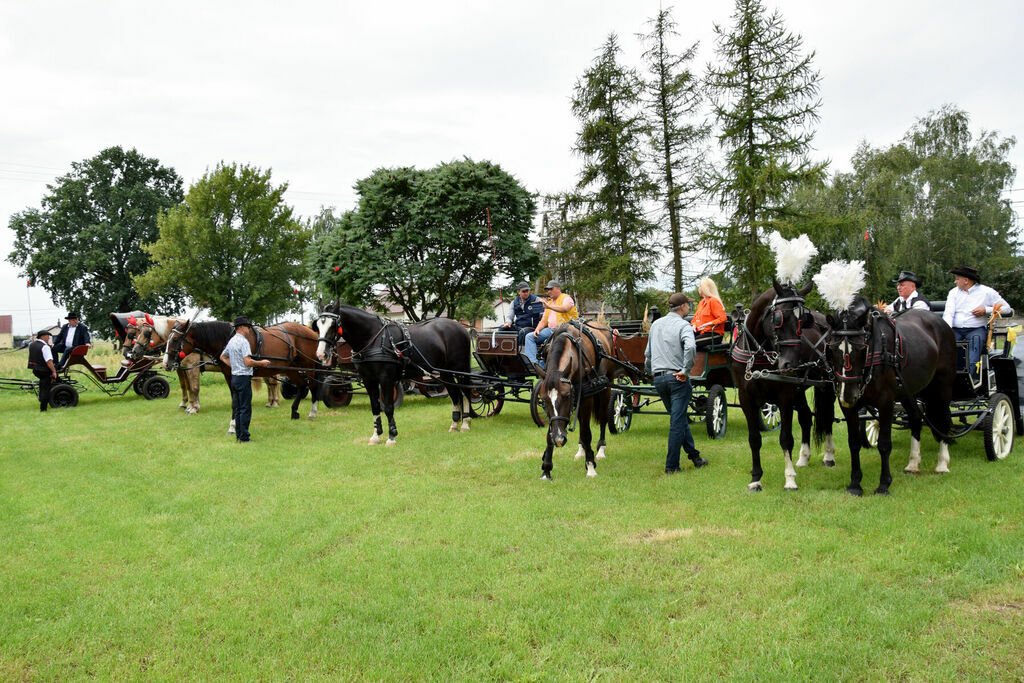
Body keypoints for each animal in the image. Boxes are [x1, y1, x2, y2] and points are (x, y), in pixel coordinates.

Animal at [164, 317, 323, 430]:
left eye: (176, 339)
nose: (166, 363)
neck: (228, 339)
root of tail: (311, 332)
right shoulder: (229, 376)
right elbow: (235, 401)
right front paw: (234, 424)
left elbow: (237, 401)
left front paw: (233, 426)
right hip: (291, 369)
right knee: (302, 386)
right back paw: (294, 412)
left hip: (309, 366)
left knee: (313, 385)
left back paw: (313, 412)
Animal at [313, 303, 473, 444]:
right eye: (318, 326)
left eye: (333, 325)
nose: (321, 354)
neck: (373, 338)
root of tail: (461, 327)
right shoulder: (368, 380)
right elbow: (375, 407)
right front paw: (376, 436)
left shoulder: (386, 379)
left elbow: (389, 408)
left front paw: (391, 436)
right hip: (445, 372)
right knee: (454, 394)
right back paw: (454, 424)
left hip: (460, 369)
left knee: (465, 392)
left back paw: (465, 423)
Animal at [536, 321, 614, 481]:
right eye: (544, 399)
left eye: (566, 395)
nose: (560, 438)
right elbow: (549, 433)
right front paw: (546, 469)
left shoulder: (585, 399)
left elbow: (586, 433)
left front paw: (590, 466)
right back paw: (581, 449)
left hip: (606, 388)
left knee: (603, 418)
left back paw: (601, 449)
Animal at [737, 282, 839, 491]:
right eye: (778, 319)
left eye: (804, 320)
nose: (790, 364)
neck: (760, 357)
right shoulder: (746, 399)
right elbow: (754, 439)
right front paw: (755, 479)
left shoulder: (784, 397)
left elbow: (785, 438)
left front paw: (790, 479)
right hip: (799, 391)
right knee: (806, 417)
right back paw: (804, 457)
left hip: (826, 385)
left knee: (827, 417)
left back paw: (828, 455)